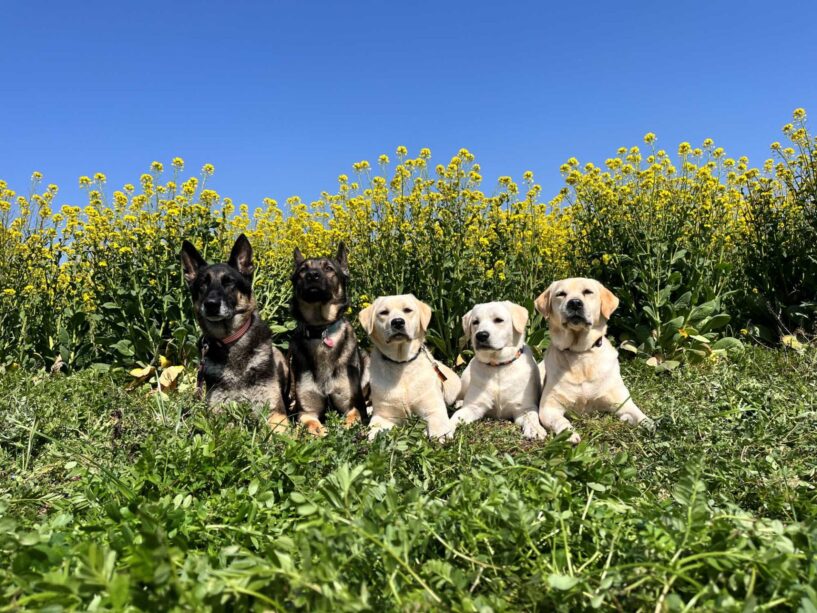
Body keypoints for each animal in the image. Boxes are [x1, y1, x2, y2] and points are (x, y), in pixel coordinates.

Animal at [179, 234, 290, 430]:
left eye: (229, 282)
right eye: (203, 284)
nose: (211, 304)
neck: (231, 340)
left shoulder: (276, 413)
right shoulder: (219, 413)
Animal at [288, 241, 368, 432]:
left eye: (329, 268)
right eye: (303, 270)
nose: (312, 275)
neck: (320, 329)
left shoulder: (354, 407)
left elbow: (351, 420)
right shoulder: (306, 412)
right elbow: (311, 423)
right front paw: (320, 432)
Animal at [356, 292, 460, 440]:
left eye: (407, 310)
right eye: (384, 312)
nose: (398, 322)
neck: (401, 364)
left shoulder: (434, 408)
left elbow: (439, 426)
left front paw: (440, 435)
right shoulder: (383, 415)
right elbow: (375, 430)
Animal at [450, 302, 544, 440]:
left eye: (498, 320)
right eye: (475, 322)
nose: (481, 335)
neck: (498, 366)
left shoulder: (524, 408)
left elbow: (532, 416)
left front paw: (535, 429)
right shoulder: (474, 406)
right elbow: (455, 416)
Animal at [532, 278, 652, 444]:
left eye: (588, 292)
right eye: (561, 294)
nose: (575, 303)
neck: (580, 354)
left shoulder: (622, 402)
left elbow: (640, 415)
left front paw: (651, 425)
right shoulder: (548, 407)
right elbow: (561, 420)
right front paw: (569, 433)